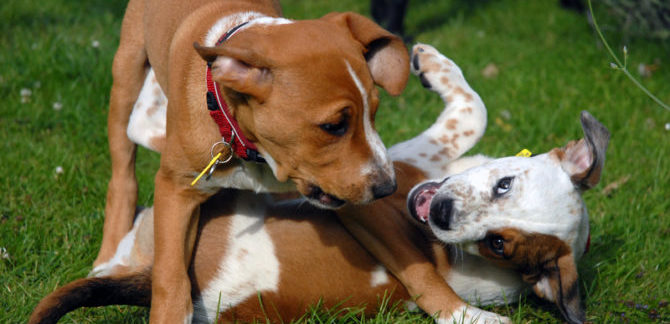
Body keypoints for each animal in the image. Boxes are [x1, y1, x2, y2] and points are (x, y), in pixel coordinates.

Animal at [31, 43, 608, 324]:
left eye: (497, 244)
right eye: (505, 184)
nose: (441, 217)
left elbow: (472, 113)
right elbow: (477, 109)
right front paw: (432, 63)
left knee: (145, 125)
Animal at [96, 0, 410, 322]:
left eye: (373, 113)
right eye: (333, 126)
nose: (388, 187)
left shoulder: (351, 195)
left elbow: (403, 252)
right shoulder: (176, 190)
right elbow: (171, 277)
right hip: (127, 71)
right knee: (123, 170)